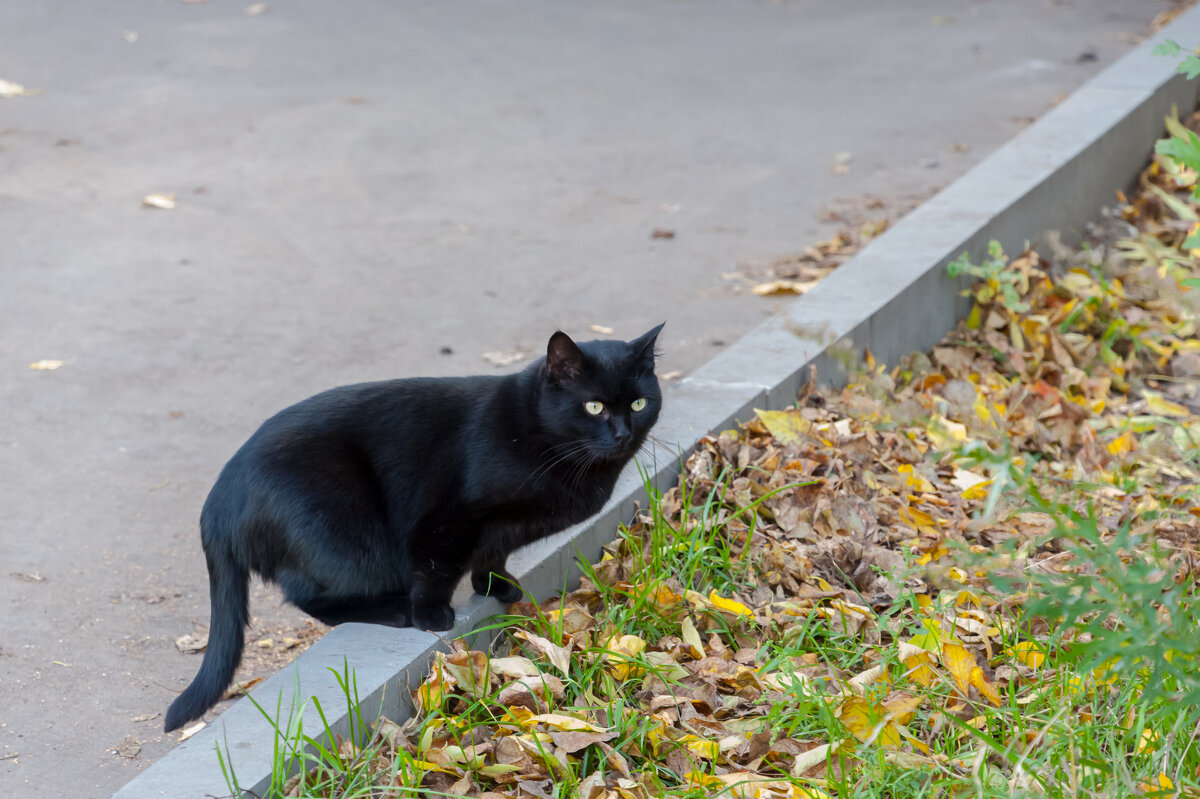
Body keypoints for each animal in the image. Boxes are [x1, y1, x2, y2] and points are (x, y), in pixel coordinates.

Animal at [162, 321, 667, 729]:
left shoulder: (504, 528)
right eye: (594, 407)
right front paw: (432, 615)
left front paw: (496, 585)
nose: (622, 434)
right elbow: (438, 566)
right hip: (352, 535)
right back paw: (395, 610)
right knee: (309, 595)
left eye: (639, 403)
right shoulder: (445, 518)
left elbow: (492, 552)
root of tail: (217, 502)